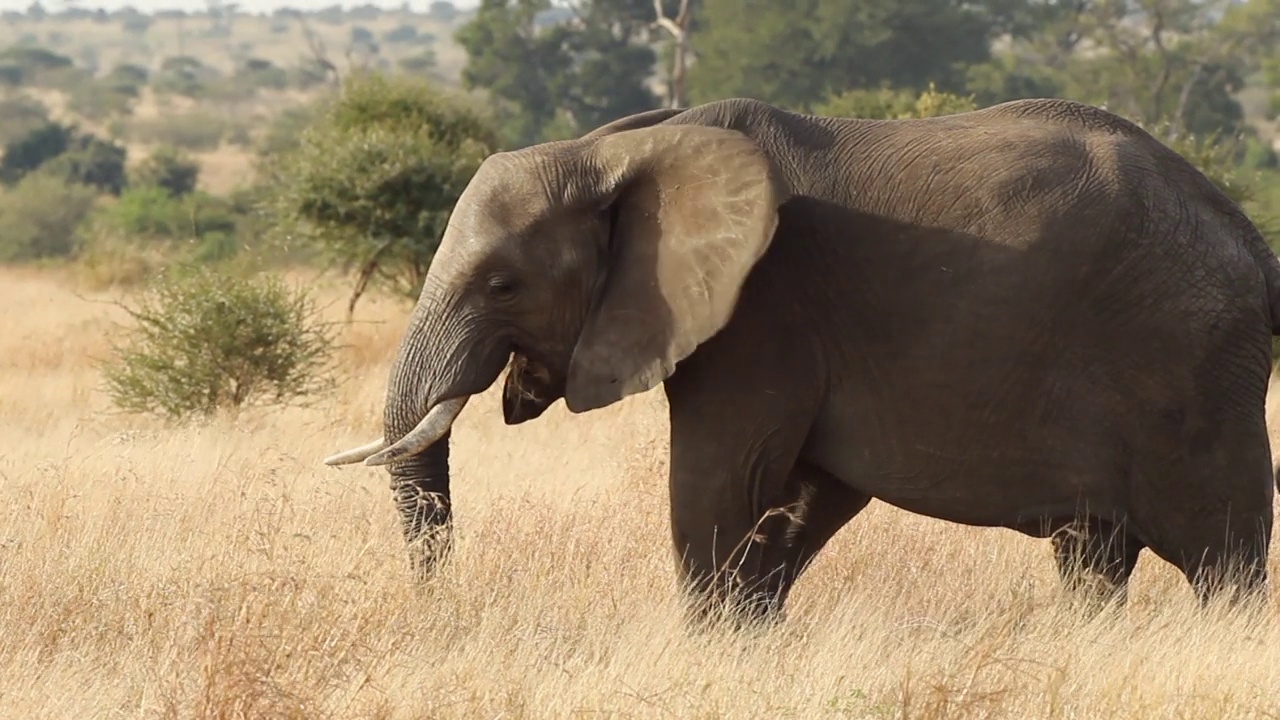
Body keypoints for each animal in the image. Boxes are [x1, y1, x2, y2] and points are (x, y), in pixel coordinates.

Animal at [322, 95, 1280, 622]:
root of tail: (1251, 239)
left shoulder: (762, 311)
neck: (616, 147)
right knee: (1094, 557)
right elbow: (803, 496)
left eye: (501, 285)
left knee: (1224, 560)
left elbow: (719, 478)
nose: (446, 611)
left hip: (1194, 373)